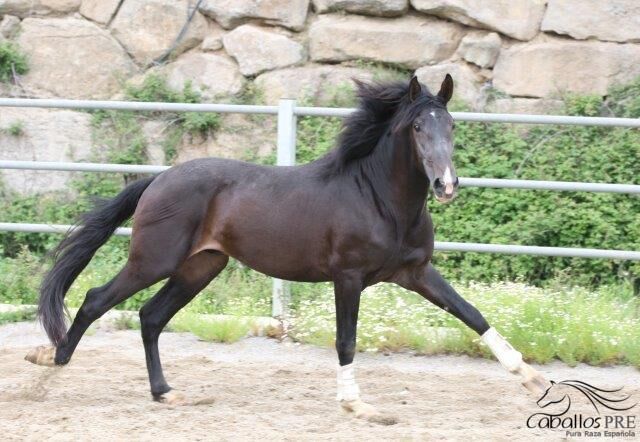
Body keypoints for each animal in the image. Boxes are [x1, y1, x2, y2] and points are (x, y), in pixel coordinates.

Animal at [27, 75, 548, 422]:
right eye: (418, 127)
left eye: (452, 125)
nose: (446, 185)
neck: (379, 198)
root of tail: (158, 179)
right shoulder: (348, 277)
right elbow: (345, 340)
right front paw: (357, 404)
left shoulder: (416, 272)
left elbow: (473, 314)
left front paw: (533, 378)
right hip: (153, 260)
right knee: (96, 300)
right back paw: (49, 367)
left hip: (201, 267)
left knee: (151, 317)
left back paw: (165, 393)